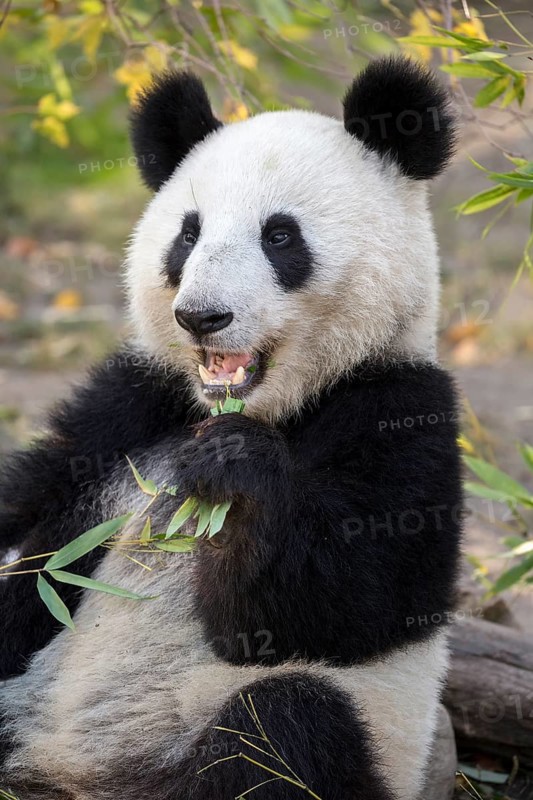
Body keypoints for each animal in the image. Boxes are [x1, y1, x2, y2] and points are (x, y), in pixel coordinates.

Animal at [0, 56, 462, 800]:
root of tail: (71, 777)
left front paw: (233, 471)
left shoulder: (402, 408)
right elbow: (38, 512)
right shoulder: (133, 403)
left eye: (280, 236)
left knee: (284, 725)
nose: (202, 317)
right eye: (188, 234)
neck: (273, 404)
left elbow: (351, 596)